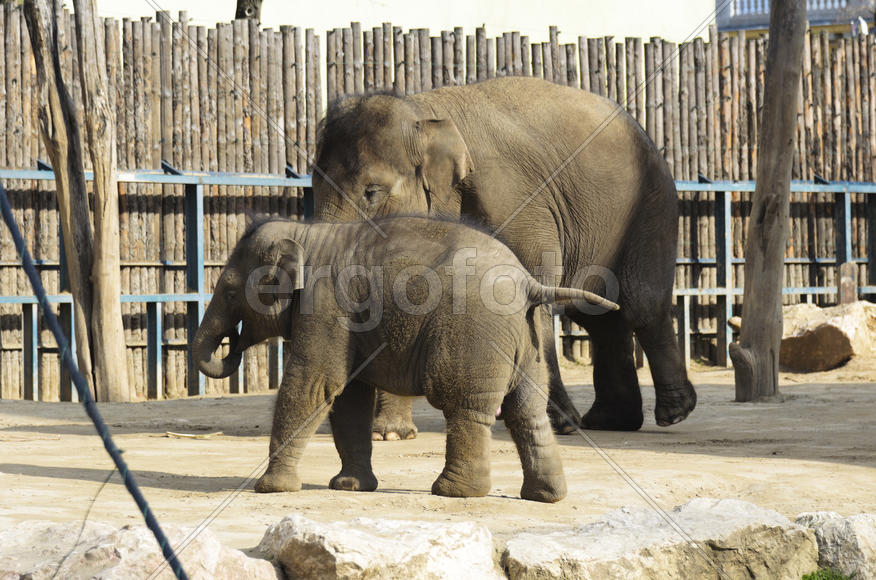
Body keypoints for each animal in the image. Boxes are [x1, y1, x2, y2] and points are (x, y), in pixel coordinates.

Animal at [192, 215, 619, 502]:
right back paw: (544, 495)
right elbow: (350, 396)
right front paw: (350, 487)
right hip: (528, 342)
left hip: (473, 336)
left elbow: (316, 384)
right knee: (526, 411)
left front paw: (270, 489)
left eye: (230, 292)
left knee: (465, 405)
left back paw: (453, 492)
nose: (232, 343)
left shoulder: (324, 303)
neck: (306, 233)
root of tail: (530, 283)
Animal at [311, 76, 697, 438]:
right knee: (599, 316)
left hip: (652, 205)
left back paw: (672, 413)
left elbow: (530, 289)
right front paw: (391, 433)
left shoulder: (515, 197)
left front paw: (555, 423)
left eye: (371, 192)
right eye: (313, 186)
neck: (425, 113)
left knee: (641, 303)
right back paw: (610, 421)